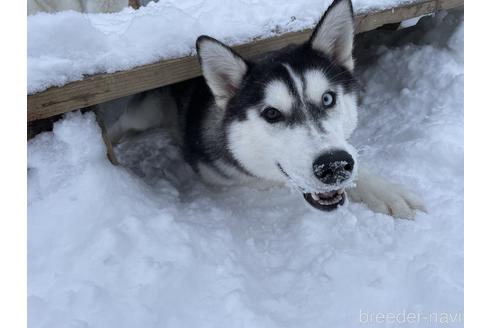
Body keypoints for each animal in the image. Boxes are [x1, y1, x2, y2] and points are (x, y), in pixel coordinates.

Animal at [109, 0, 424, 220]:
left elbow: (356, 162)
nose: (333, 166)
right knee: (122, 125)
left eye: (327, 99)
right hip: (146, 111)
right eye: (271, 113)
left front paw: (384, 189)